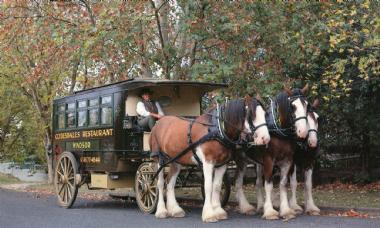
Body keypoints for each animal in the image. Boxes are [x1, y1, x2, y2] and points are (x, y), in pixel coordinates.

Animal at [233, 84, 310, 220]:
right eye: (293, 106)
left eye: (306, 104)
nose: (303, 131)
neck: (279, 132)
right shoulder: (269, 160)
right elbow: (268, 185)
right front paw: (269, 211)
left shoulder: (287, 161)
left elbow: (283, 184)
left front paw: (286, 210)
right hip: (241, 160)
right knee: (238, 181)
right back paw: (246, 207)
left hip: (257, 162)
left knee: (257, 182)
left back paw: (259, 206)